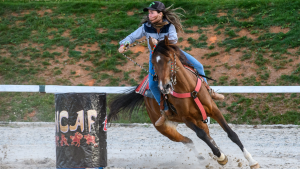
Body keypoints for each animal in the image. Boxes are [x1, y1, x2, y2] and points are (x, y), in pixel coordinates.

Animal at [108, 36, 260, 168]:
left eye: (169, 60)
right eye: (154, 63)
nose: (164, 87)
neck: (188, 88)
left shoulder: (213, 110)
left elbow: (231, 134)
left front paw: (252, 161)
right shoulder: (187, 119)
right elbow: (201, 135)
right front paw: (221, 157)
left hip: (199, 120)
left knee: (205, 137)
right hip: (166, 129)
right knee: (189, 141)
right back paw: (204, 158)